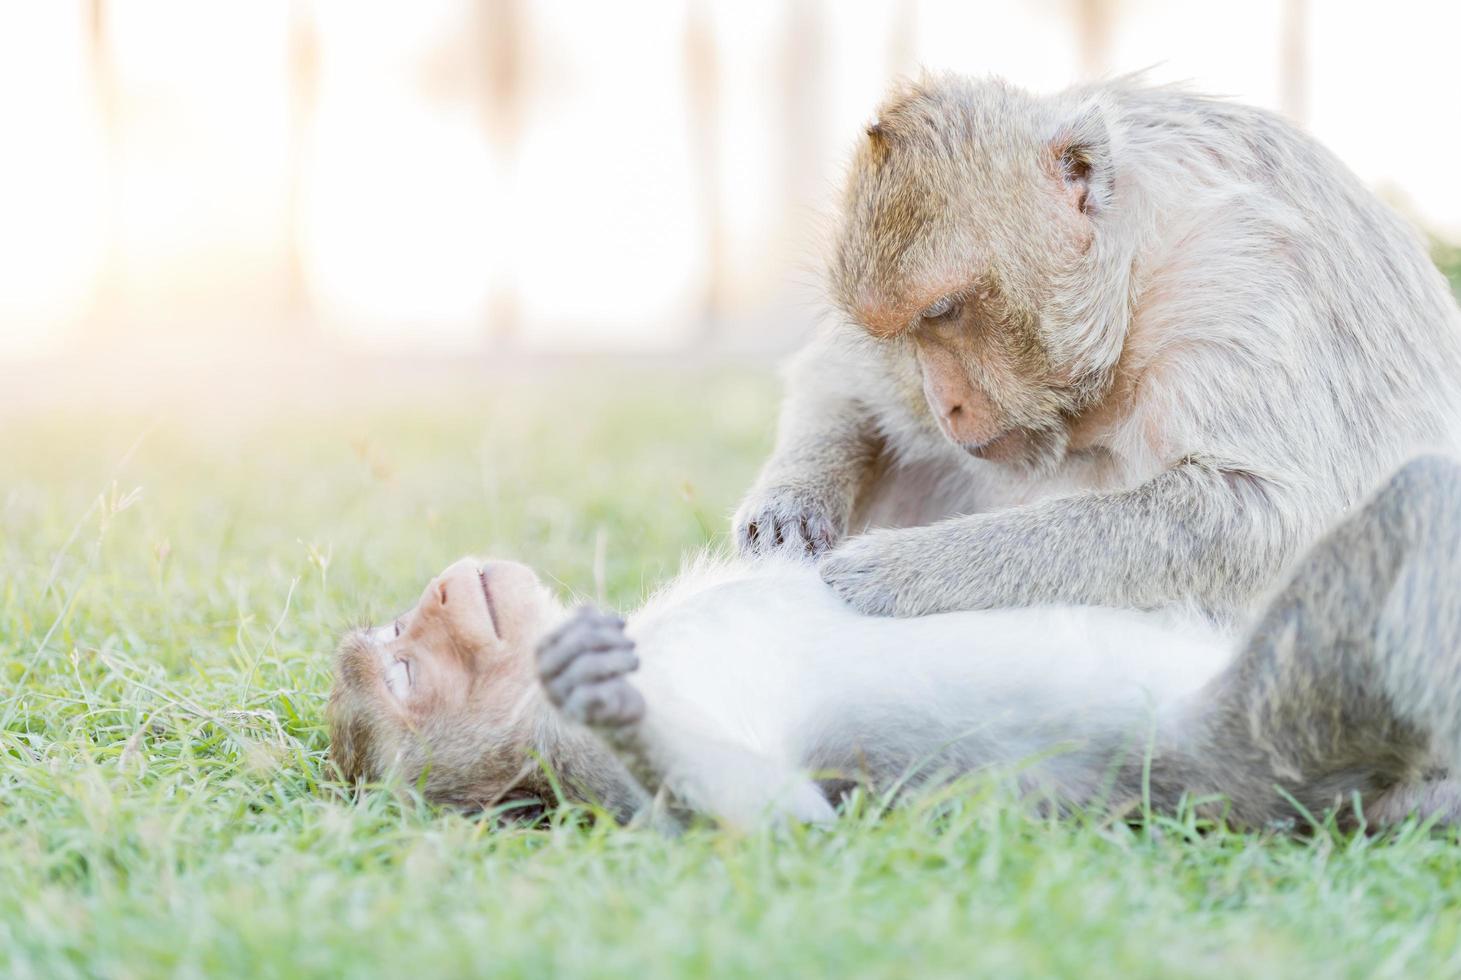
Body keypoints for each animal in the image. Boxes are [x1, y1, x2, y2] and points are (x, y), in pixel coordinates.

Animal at [328, 455, 1461, 829]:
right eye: (406, 669)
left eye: (396, 637)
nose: (440, 589)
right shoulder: (571, 758)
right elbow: (774, 815)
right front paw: (606, 697)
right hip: (1272, 735)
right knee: (1422, 497)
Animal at [736, 73, 1461, 622]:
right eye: (909, 335)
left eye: (944, 314)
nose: (945, 407)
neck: (1135, 279)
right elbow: (839, 377)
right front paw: (793, 500)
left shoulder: (1240, 279)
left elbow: (1261, 516)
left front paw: (907, 568)